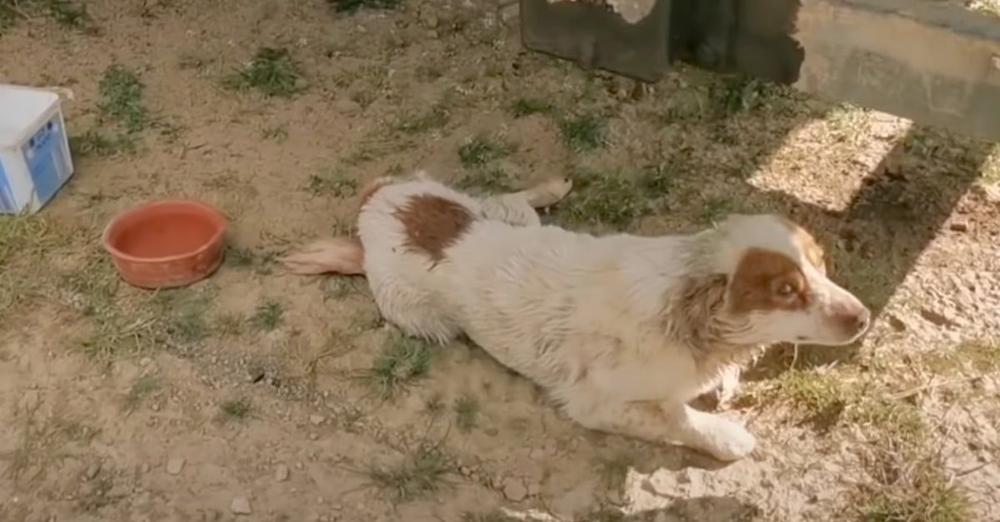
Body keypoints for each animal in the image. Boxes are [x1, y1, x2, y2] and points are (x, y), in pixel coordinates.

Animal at [282, 172, 868, 460]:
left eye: (821, 265)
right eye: (786, 291)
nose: (863, 318)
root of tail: (380, 203)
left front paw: (723, 383)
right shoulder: (594, 402)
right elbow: (676, 418)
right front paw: (727, 438)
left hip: (494, 211)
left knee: (506, 194)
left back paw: (550, 187)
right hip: (424, 319)